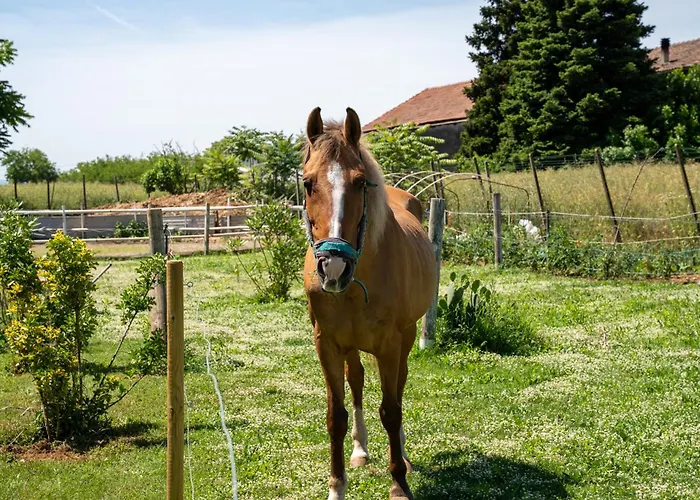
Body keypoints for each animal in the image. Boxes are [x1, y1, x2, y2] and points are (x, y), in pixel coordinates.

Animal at [302, 106, 438, 500]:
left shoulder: (390, 344)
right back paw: (360, 450)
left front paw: (399, 485)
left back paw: (403, 456)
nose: (333, 266)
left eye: (361, 182)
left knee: (399, 387)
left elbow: (391, 410)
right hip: (351, 346)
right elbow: (336, 415)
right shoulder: (327, 344)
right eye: (308, 183)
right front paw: (336, 488)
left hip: (406, 337)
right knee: (358, 381)